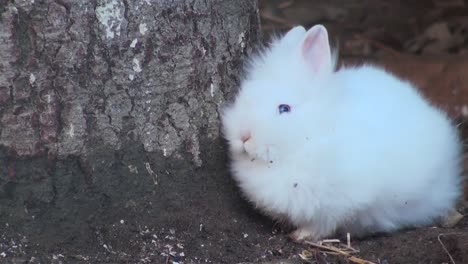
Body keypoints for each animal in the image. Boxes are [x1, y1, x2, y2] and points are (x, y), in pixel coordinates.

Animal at [221, 24, 462, 241]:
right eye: (243, 96)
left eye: (284, 108)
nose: (243, 136)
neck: (310, 138)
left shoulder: (338, 204)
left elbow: (325, 223)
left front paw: (301, 235)